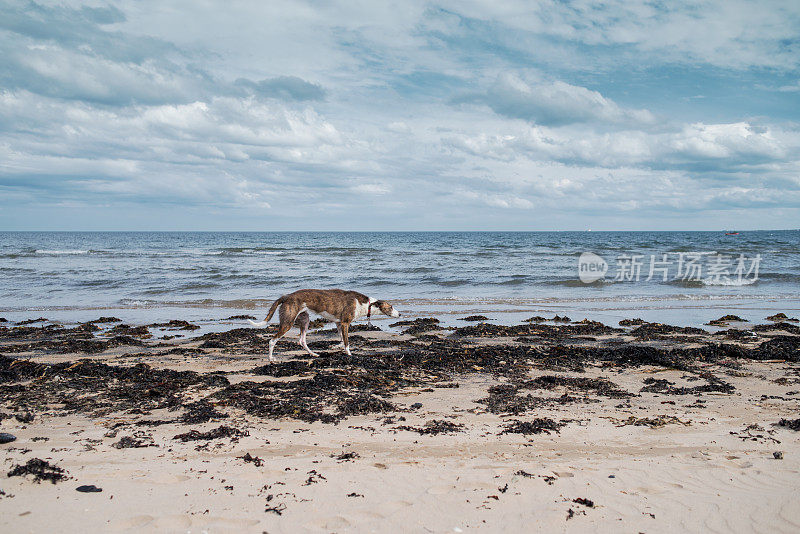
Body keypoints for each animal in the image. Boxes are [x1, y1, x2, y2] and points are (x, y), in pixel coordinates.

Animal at [247, 292, 400, 362]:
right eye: (391, 307)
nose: (399, 314)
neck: (365, 304)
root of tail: (286, 297)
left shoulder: (339, 323)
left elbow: (341, 340)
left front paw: (336, 347)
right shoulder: (345, 323)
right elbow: (347, 342)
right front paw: (349, 354)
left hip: (305, 320)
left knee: (302, 341)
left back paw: (313, 354)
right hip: (287, 322)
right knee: (272, 340)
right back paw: (271, 359)